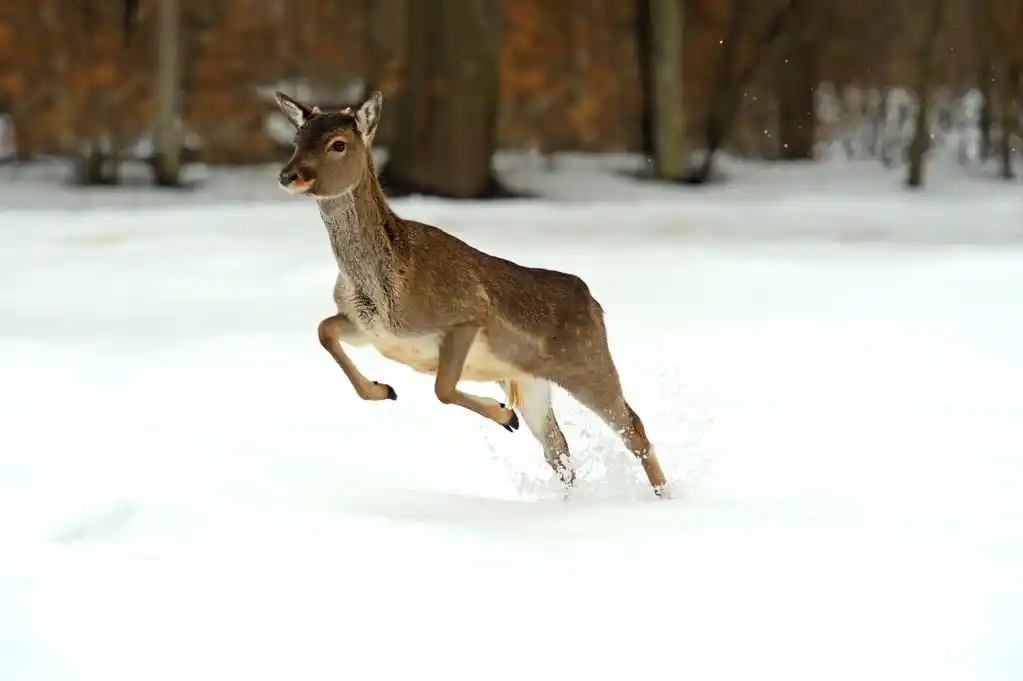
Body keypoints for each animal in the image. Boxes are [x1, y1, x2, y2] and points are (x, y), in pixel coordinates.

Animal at [273, 89, 670, 499]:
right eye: (297, 139)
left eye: (338, 144)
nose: (289, 175)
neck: (384, 283)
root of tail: (595, 305)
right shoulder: (370, 329)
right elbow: (324, 330)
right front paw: (384, 390)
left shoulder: (465, 313)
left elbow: (443, 388)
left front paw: (504, 414)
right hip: (532, 379)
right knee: (558, 446)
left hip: (588, 361)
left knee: (633, 428)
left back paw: (663, 497)